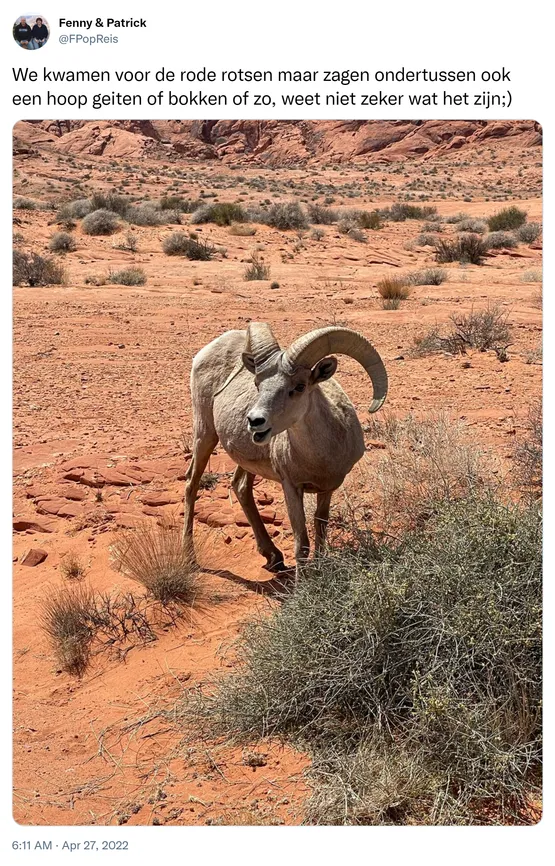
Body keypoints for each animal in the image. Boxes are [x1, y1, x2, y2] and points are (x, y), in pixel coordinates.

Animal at [182, 322, 386, 568]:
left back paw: (273, 556)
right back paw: (189, 556)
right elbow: (302, 545)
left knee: (240, 486)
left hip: (247, 459)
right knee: (192, 484)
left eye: (299, 387)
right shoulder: (291, 487)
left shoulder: (327, 489)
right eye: (257, 384)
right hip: (205, 434)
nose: (255, 421)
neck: (319, 459)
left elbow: (320, 531)